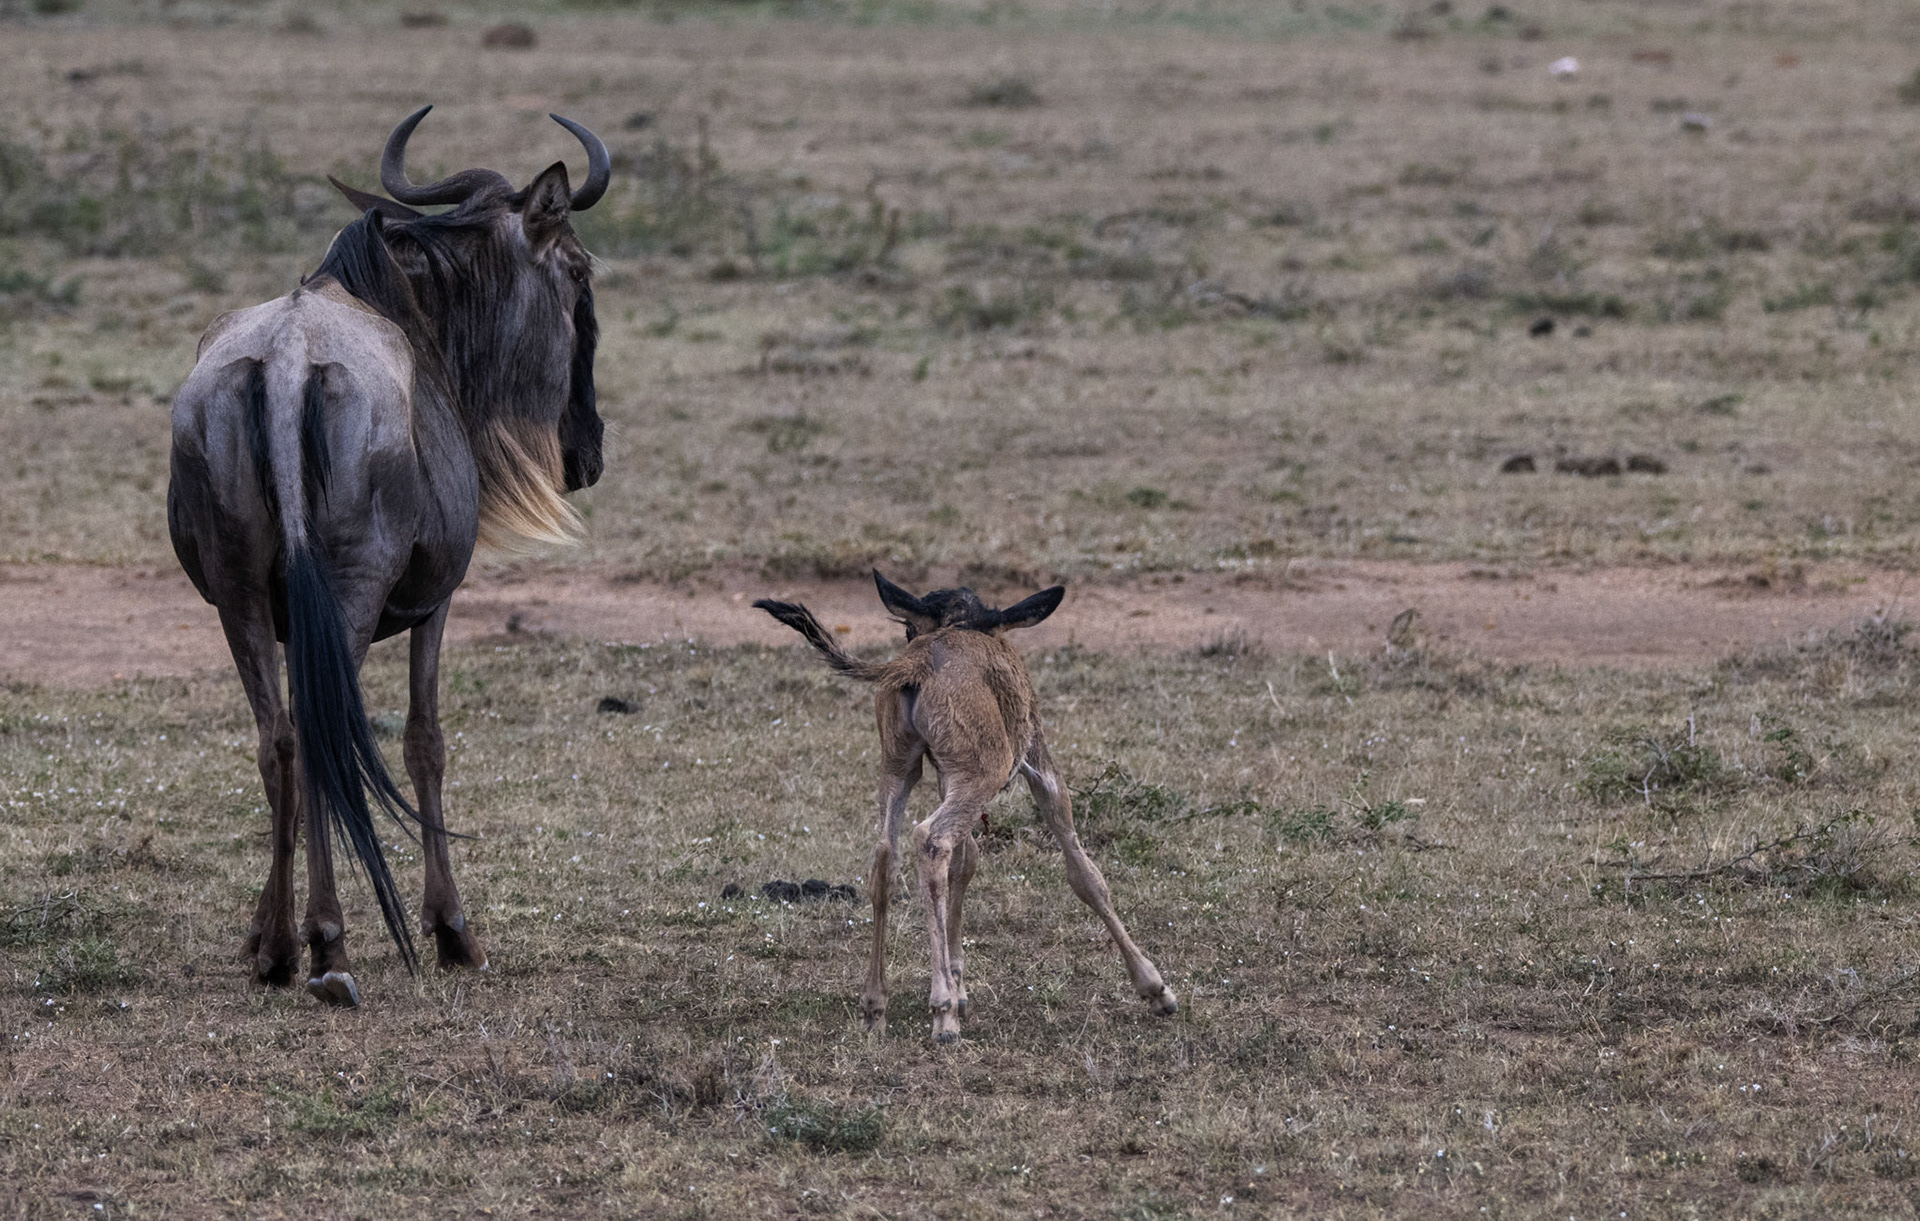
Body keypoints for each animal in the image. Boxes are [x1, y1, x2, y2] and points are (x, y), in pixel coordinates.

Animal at [755, 572, 1177, 1042]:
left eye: (908, 627)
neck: (960, 624)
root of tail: (917, 666)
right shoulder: (1038, 763)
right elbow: (1085, 873)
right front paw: (1155, 987)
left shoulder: (946, 775)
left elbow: (966, 861)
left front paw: (959, 984)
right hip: (980, 776)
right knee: (931, 840)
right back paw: (942, 1013)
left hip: (900, 767)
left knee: (887, 854)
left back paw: (875, 1005)